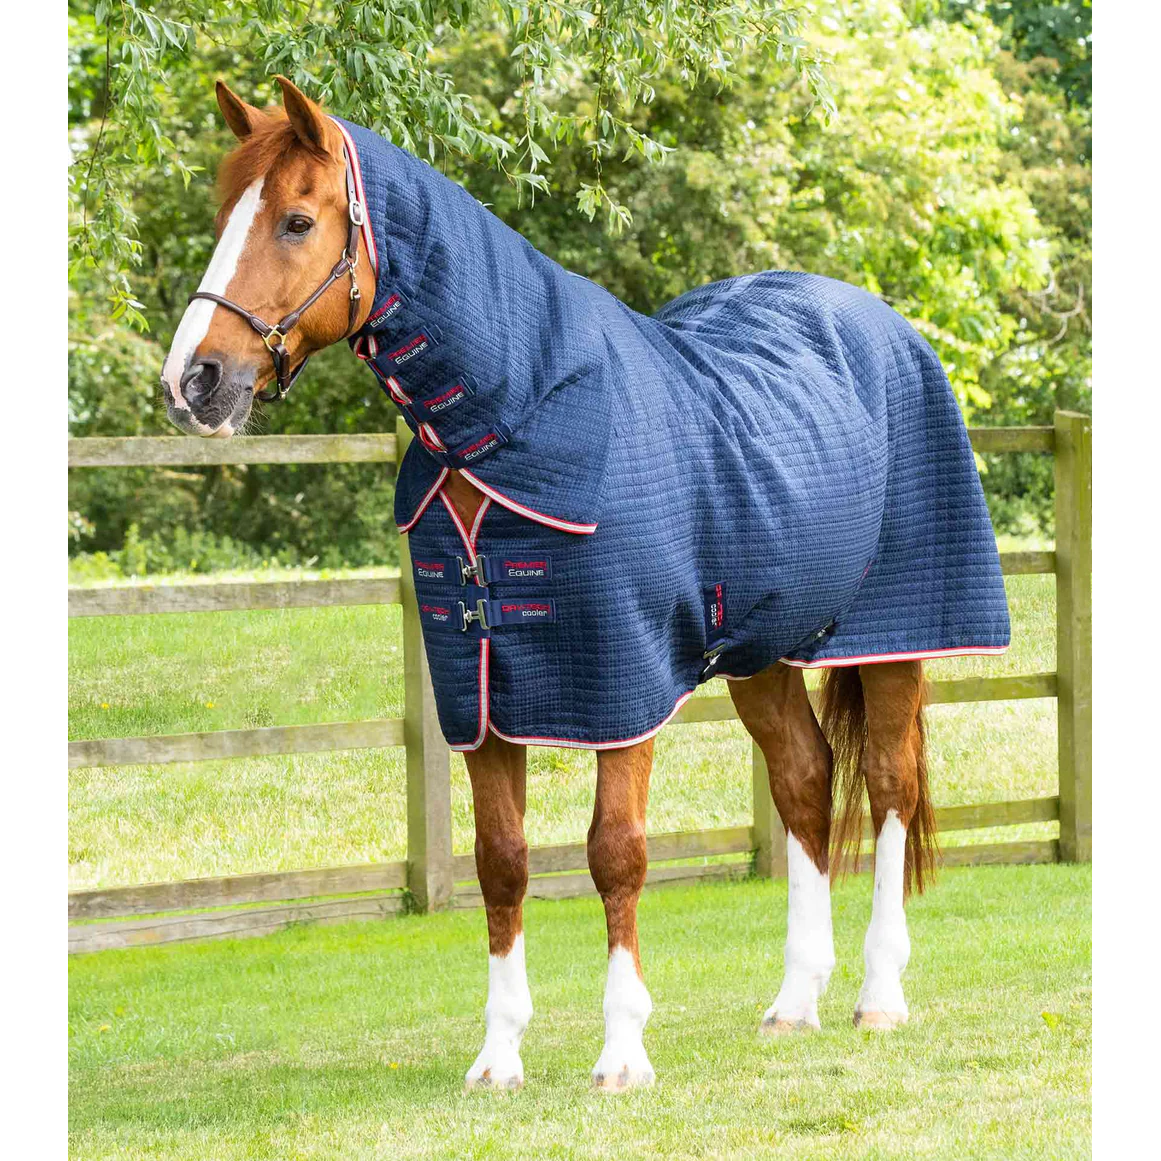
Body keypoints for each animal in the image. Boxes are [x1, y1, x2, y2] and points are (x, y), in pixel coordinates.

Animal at [160, 77, 1010, 1091]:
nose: (194, 380)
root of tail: (883, 325)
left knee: (886, 788)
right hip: (759, 653)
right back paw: (794, 1001)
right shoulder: (479, 690)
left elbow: (615, 854)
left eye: (295, 219)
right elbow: (501, 860)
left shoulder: (619, 681)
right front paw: (498, 1057)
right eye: (223, 216)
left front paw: (622, 1052)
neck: (513, 420)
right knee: (805, 780)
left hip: (894, 638)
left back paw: (878, 996)